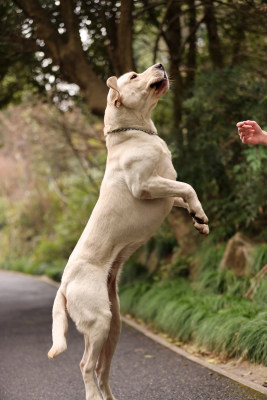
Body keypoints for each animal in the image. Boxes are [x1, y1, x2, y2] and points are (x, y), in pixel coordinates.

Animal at [48, 63, 211, 400]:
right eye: (134, 76)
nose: (160, 64)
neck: (136, 133)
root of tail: (63, 285)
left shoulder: (166, 190)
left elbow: (185, 193)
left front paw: (199, 219)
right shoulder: (146, 185)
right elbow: (187, 186)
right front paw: (199, 214)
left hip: (115, 326)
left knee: (101, 368)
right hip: (99, 321)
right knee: (85, 365)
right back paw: (94, 396)